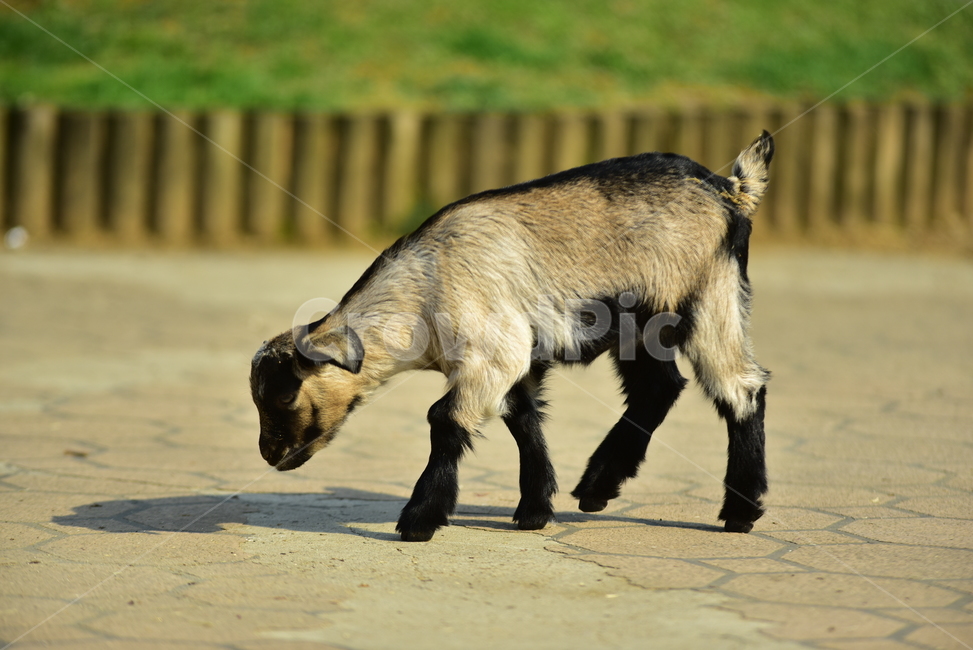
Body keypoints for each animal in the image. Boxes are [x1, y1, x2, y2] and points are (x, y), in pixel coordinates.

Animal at [251, 131, 774, 541]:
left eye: (284, 397)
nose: (269, 454)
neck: (427, 284)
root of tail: (730, 189)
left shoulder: (493, 354)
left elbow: (445, 419)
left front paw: (419, 520)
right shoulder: (514, 362)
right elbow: (523, 420)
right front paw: (534, 511)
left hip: (710, 300)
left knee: (740, 388)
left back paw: (740, 511)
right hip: (641, 328)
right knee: (658, 390)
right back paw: (597, 488)